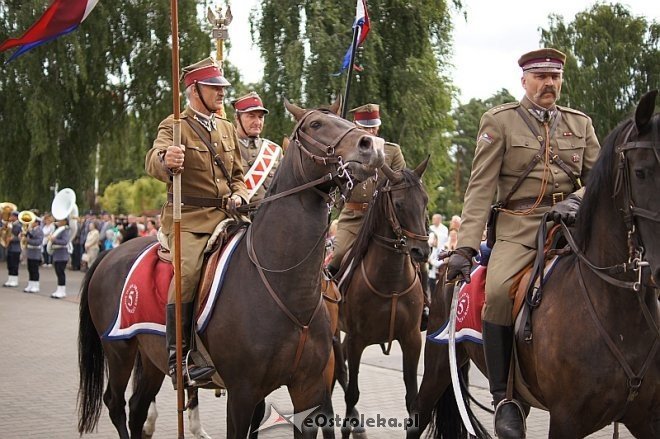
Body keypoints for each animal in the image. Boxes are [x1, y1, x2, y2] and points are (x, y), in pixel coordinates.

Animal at [77, 100, 386, 439]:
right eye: (316, 124)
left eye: (346, 121)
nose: (372, 146)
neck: (285, 288)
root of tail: (109, 255)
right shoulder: (242, 393)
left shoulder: (309, 388)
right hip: (119, 350)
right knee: (115, 403)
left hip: (149, 357)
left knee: (137, 408)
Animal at [336, 160, 434, 438]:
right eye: (399, 204)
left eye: (425, 200)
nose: (421, 251)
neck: (391, 280)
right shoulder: (357, 340)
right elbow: (352, 395)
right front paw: (350, 426)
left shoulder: (412, 339)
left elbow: (412, 399)